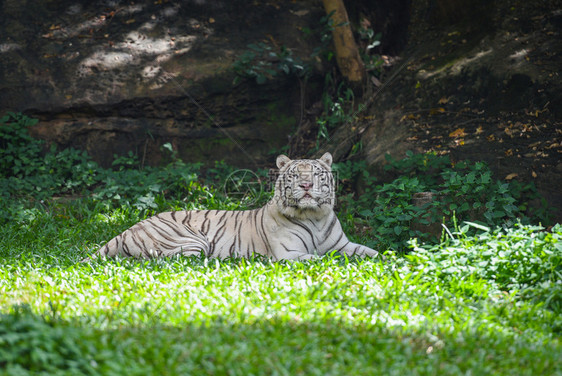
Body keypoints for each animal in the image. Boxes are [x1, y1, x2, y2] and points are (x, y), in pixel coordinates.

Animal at [83, 153, 378, 262]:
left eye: (316, 174)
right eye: (295, 174)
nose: (306, 185)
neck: (314, 216)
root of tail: (128, 228)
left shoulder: (343, 245)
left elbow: (372, 252)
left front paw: (386, 258)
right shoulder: (289, 254)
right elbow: (323, 258)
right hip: (190, 243)